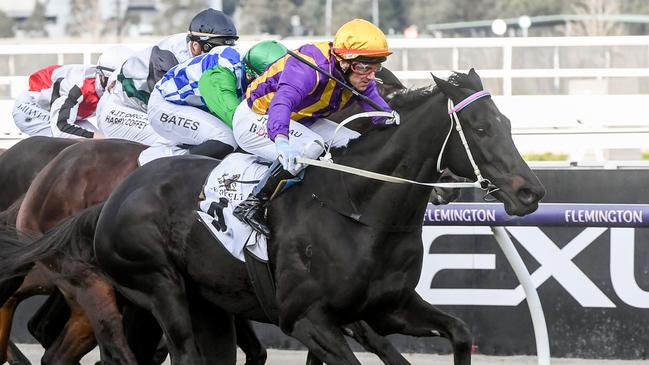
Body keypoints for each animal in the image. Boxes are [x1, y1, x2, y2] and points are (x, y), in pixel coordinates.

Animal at [87, 69, 548, 362]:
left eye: (507, 122)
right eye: (481, 129)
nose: (530, 192)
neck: (359, 211)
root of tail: (116, 195)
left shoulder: (387, 308)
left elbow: (460, 333)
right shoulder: (305, 319)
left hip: (208, 305)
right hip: (160, 288)